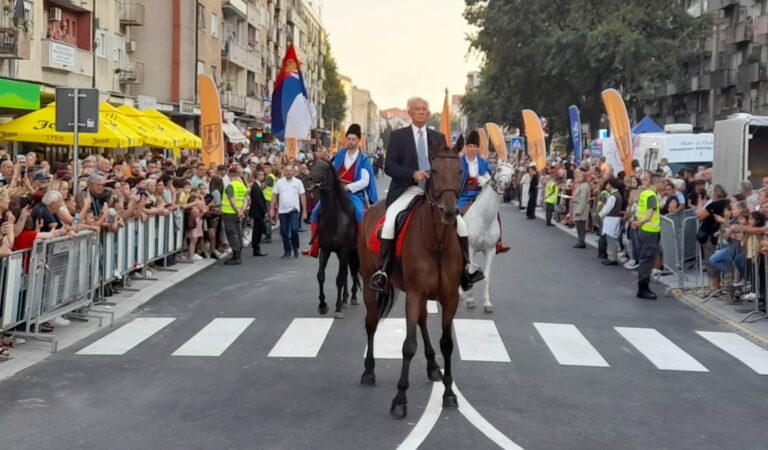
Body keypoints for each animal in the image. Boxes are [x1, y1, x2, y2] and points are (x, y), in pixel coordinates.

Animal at [308, 160, 362, 318]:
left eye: (325, 169)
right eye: (312, 165)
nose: (309, 179)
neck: (334, 217)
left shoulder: (343, 250)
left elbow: (338, 279)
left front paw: (337, 309)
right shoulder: (325, 249)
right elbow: (321, 276)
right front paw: (322, 305)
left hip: (353, 251)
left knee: (353, 271)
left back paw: (353, 298)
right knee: (346, 273)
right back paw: (344, 299)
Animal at [356, 135, 464, 420]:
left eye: (460, 171)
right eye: (434, 171)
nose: (450, 212)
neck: (437, 242)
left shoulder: (449, 297)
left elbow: (447, 343)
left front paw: (449, 393)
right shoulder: (414, 295)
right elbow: (408, 345)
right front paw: (400, 398)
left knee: (424, 321)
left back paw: (433, 365)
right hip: (370, 285)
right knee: (371, 323)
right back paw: (368, 371)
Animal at [460, 161, 512, 312]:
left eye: (512, 173)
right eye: (499, 169)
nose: (504, 183)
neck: (484, 218)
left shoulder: (490, 250)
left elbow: (487, 276)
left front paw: (487, 302)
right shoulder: (470, 248)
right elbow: (471, 270)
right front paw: (470, 299)